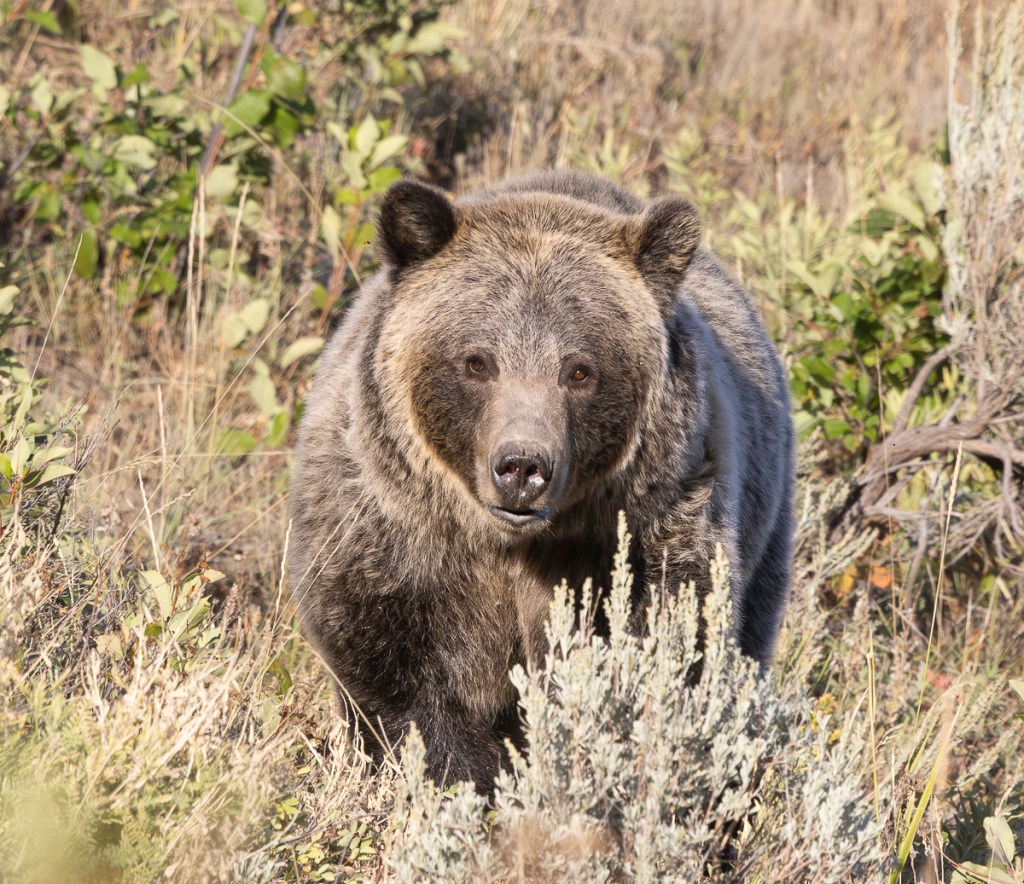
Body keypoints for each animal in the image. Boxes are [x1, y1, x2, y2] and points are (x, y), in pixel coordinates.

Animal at [288, 170, 795, 792]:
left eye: (579, 370)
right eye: (477, 361)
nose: (522, 467)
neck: (508, 543)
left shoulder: (646, 530)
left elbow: (661, 635)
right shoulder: (392, 536)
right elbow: (398, 680)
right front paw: (461, 778)